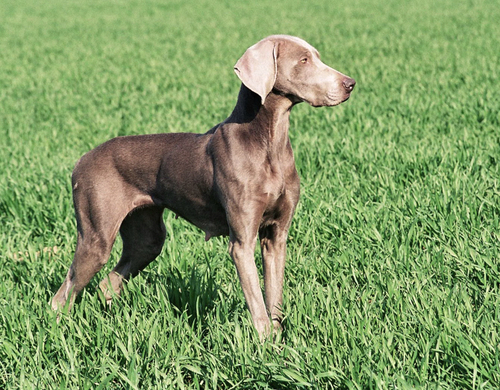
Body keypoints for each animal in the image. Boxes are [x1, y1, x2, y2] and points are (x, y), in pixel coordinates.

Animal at [50, 35, 354, 336]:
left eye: (316, 56)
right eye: (303, 60)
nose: (350, 83)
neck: (268, 142)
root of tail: (81, 160)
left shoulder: (276, 236)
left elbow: (274, 299)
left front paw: (280, 341)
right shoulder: (241, 242)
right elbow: (257, 304)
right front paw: (264, 342)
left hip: (146, 238)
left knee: (109, 282)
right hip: (96, 236)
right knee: (63, 295)